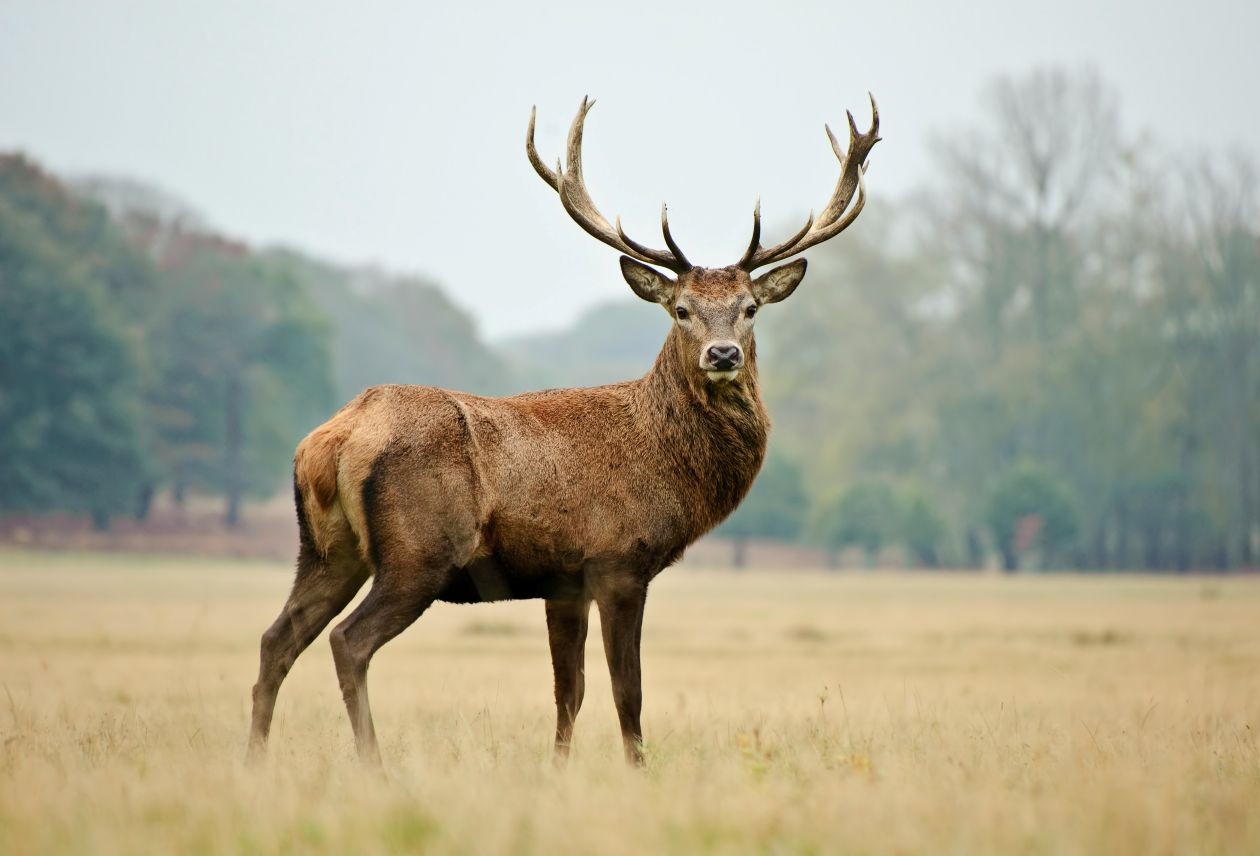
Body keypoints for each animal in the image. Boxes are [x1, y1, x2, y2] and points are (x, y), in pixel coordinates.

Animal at [246, 95, 880, 767]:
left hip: (326, 549)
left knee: (276, 639)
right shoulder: (619, 560)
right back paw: (373, 765)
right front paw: (638, 769)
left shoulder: (563, 582)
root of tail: (332, 439)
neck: (668, 464)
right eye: (681, 310)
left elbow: (568, 691)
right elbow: (627, 690)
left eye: (750, 308)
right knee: (348, 641)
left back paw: (254, 760)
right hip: (418, 552)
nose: (724, 354)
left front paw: (558, 769)